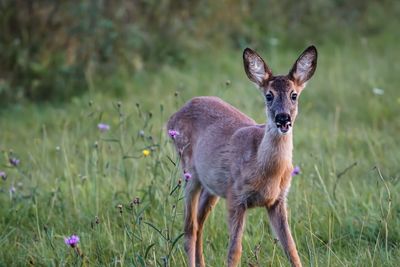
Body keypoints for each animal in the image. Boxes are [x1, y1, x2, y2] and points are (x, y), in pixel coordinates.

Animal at [167, 45, 318, 266]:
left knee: (199, 224)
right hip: (189, 171)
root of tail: (173, 117)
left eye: (294, 95)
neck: (265, 170)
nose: (283, 119)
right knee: (189, 227)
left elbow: (291, 247)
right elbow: (234, 250)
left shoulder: (278, 200)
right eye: (269, 95)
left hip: (211, 186)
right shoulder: (236, 196)